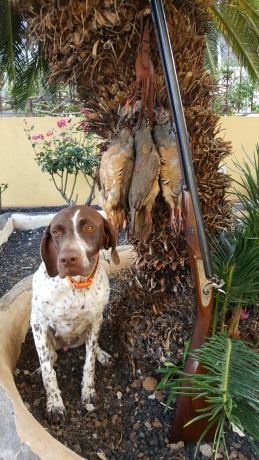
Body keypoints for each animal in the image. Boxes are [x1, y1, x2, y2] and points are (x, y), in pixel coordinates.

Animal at [31, 207, 120, 422]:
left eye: (88, 228)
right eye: (56, 232)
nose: (67, 259)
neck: (75, 285)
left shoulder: (96, 319)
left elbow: (89, 362)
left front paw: (88, 391)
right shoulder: (37, 322)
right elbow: (48, 370)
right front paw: (54, 404)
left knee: (91, 347)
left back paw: (102, 355)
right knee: (51, 356)